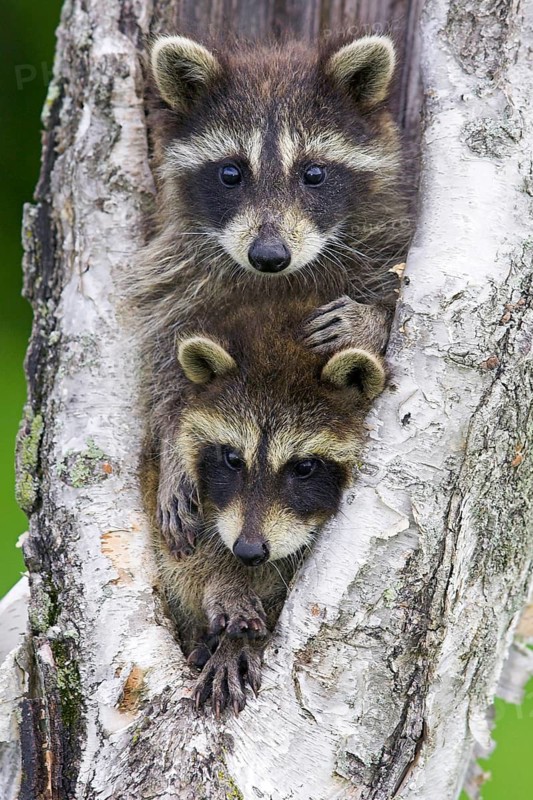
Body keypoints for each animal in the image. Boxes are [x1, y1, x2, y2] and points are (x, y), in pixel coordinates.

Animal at [134, 33, 411, 559]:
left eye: (314, 173)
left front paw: (369, 319)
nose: (268, 255)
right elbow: (167, 367)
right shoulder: (175, 277)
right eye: (230, 173)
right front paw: (174, 443)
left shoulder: (384, 236)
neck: (278, 280)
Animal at [150, 297, 388, 714]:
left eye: (304, 467)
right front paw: (225, 582)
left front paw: (237, 641)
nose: (248, 551)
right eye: (232, 459)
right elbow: (183, 557)